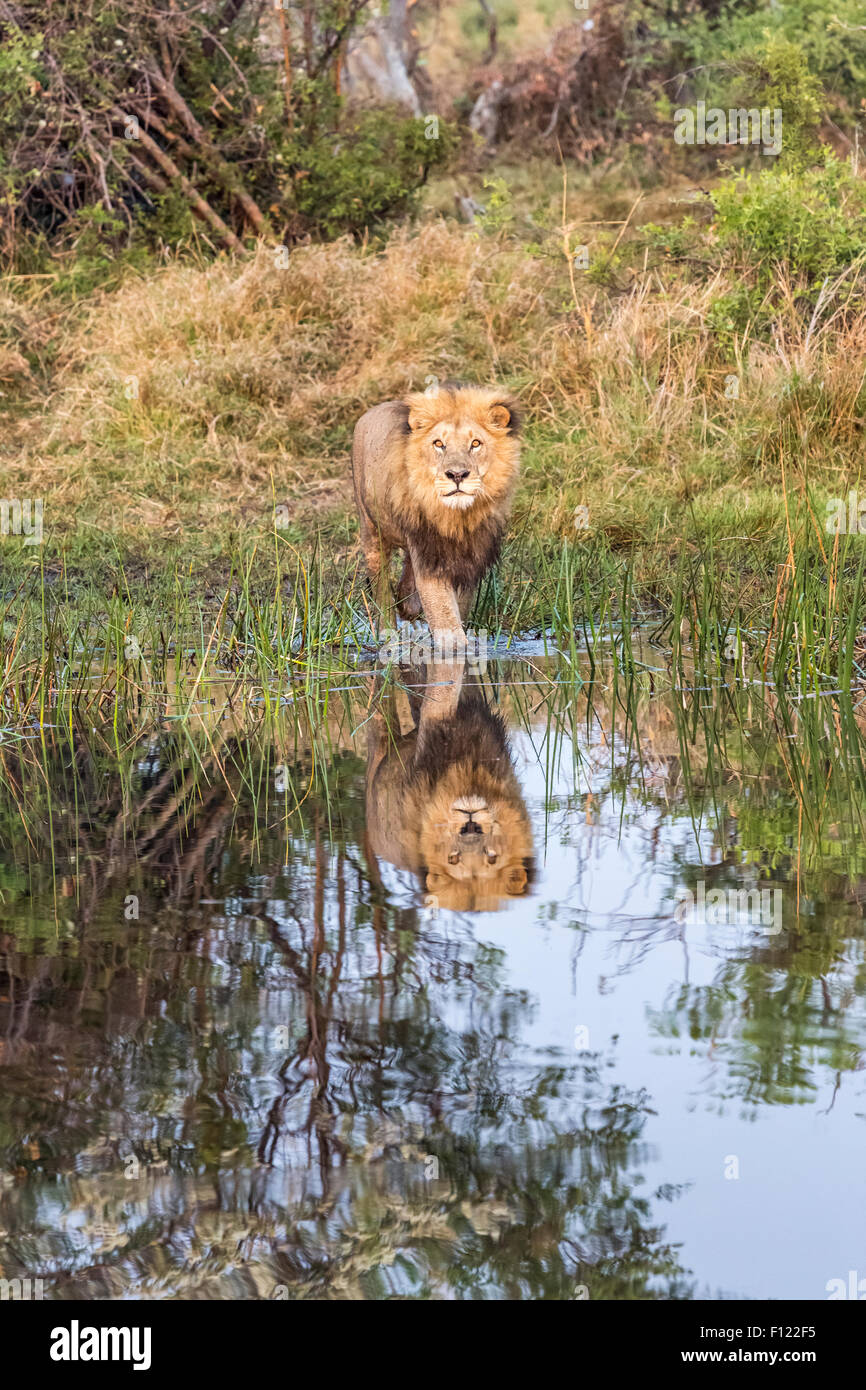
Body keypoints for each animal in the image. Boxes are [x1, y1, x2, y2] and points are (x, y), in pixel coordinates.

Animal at [350, 380, 522, 639]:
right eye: (439, 444)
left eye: (475, 443)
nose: (457, 475)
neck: (456, 518)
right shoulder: (431, 558)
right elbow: (445, 618)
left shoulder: (469, 559)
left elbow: (459, 609)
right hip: (371, 532)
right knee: (382, 592)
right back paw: (388, 636)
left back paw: (407, 605)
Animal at [361, 661, 530, 911]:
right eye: (453, 858)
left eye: (492, 857)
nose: (471, 828)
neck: (468, 774)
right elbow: (440, 691)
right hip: (380, 742)